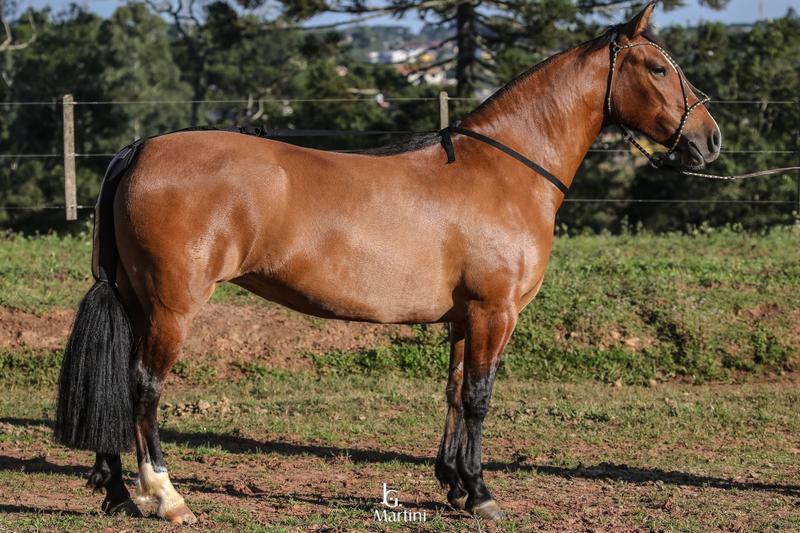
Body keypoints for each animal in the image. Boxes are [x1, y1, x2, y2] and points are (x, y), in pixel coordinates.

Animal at [54, 1, 720, 524]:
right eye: (658, 68)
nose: (709, 139)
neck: (504, 169)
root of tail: (142, 148)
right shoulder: (494, 312)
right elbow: (479, 396)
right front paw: (480, 493)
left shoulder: (466, 318)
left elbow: (454, 392)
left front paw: (454, 486)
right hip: (172, 305)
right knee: (143, 386)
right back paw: (166, 497)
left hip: (136, 298)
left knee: (117, 380)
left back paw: (118, 493)